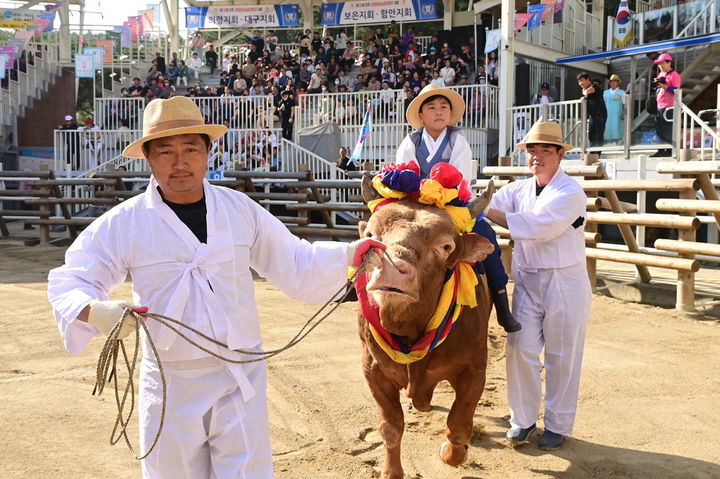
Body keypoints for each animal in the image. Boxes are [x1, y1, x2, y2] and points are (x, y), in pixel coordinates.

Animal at [356, 173, 496, 479]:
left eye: (445, 246)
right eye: (371, 235)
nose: (391, 268)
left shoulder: (474, 370)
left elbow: (458, 426)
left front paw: (452, 453)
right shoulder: (373, 369)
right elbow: (391, 427)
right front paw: (392, 471)